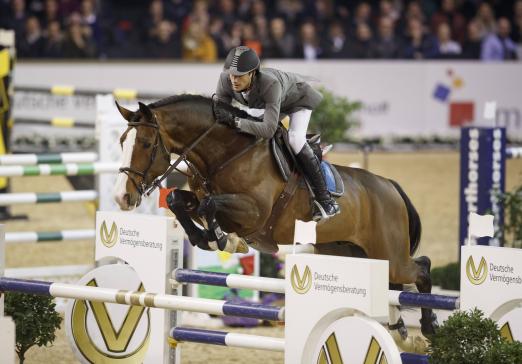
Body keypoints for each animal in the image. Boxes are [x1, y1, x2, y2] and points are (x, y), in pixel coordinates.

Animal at [112, 95, 434, 336]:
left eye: (145, 144)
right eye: (121, 142)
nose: (121, 197)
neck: (224, 154)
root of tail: (389, 186)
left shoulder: (253, 212)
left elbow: (209, 207)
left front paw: (223, 240)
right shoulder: (201, 197)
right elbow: (178, 199)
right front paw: (209, 238)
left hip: (389, 255)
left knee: (421, 268)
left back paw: (427, 327)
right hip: (348, 253)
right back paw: (397, 326)